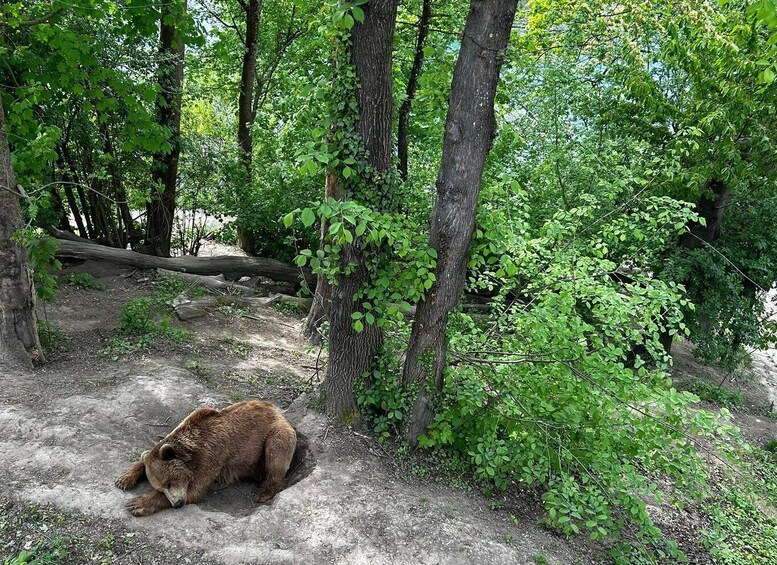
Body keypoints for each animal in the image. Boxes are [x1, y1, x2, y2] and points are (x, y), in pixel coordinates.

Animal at [115, 399, 298, 517]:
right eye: (161, 487)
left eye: (169, 482)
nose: (178, 503)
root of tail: (278, 412)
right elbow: (145, 458)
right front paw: (123, 480)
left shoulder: (211, 456)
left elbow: (195, 490)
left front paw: (137, 504)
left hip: (276, 434)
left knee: (275, 457)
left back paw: (264, 493)